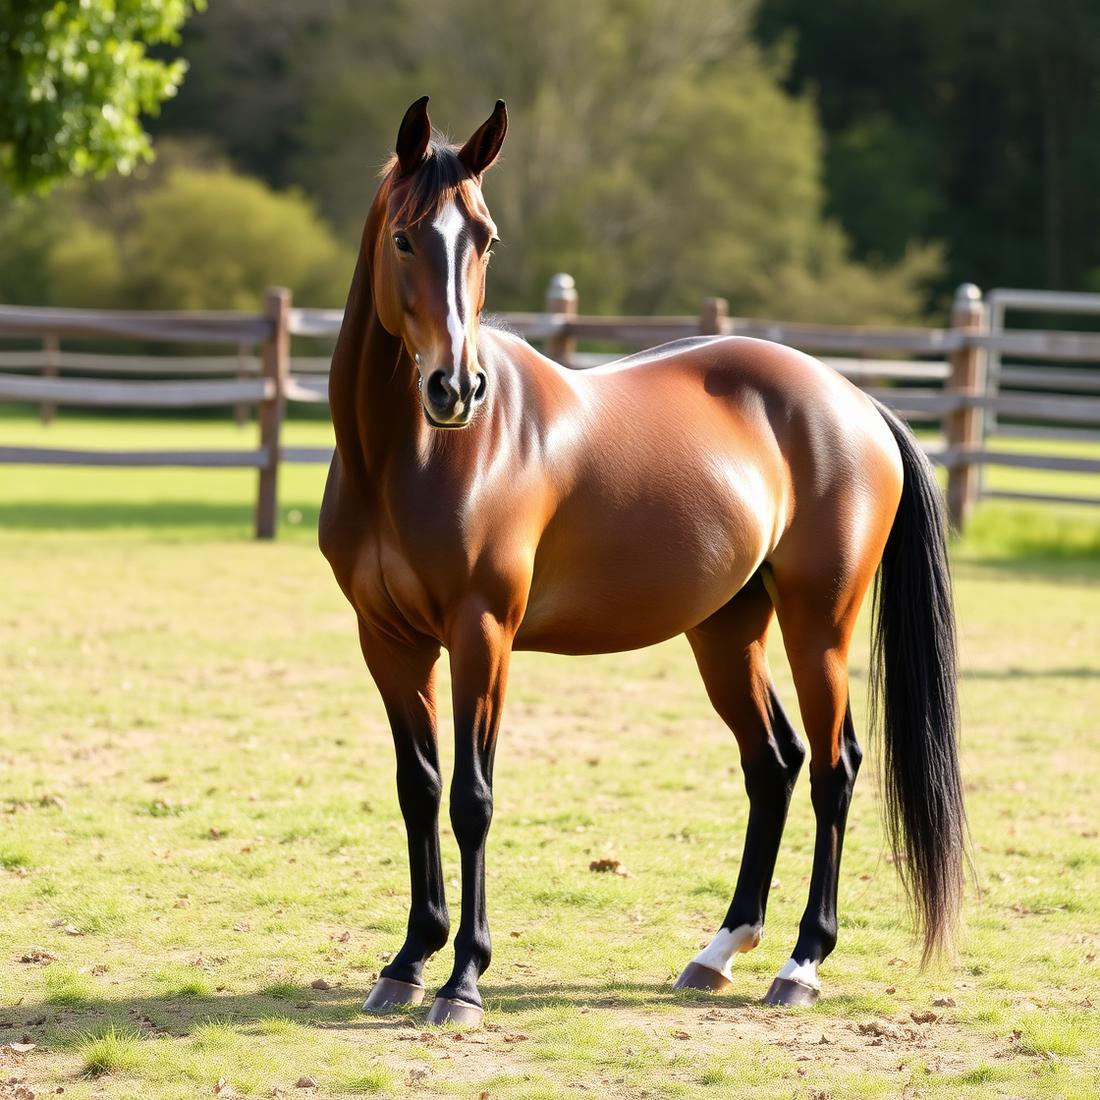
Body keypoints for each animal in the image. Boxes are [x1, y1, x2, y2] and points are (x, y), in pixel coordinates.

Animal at [319, 96, 966, 1027]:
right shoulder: (389, 641)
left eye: (485, 238)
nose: (457, 389)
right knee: (773, 762)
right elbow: (421, 789)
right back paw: (719, 951)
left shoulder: (484, 634)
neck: (411, 458)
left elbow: (473, 798)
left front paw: (464, 979)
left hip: (821, 627)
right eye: (405, 237)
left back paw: (802, 963)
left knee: (834, 767)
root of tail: (855, 402)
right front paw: (408, 961)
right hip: (726, 631)